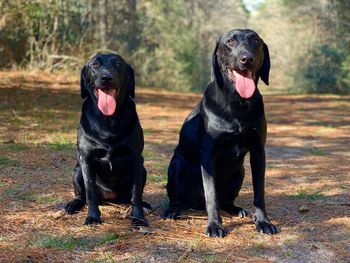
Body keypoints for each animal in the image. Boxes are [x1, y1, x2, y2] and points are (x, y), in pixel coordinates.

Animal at [65, 53, 149, 227]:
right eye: (95, 64)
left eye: (117, 64)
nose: (106, 78)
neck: (108, 121)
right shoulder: (86, 159)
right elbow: (90, 194)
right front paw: (93, 217)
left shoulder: (137, 159)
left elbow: (136, 194)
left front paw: (138, 218)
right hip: (77, 171)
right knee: (81, 195)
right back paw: (73, 204)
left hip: (144, 170)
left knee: (132, 196)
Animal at [163, 29, 278, 238]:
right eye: (230, 41)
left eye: (255, 41)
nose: (246, 59)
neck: (238, 103)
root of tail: (196, 205)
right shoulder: (208, 155)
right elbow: (212, 197)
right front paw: (215, 225)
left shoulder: (258, 152)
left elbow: (259, 193)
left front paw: (263, 222)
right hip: (175, 166)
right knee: (177, 199)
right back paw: (172, 211)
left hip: (240, 172)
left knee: (226, 201)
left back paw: (236, 209)